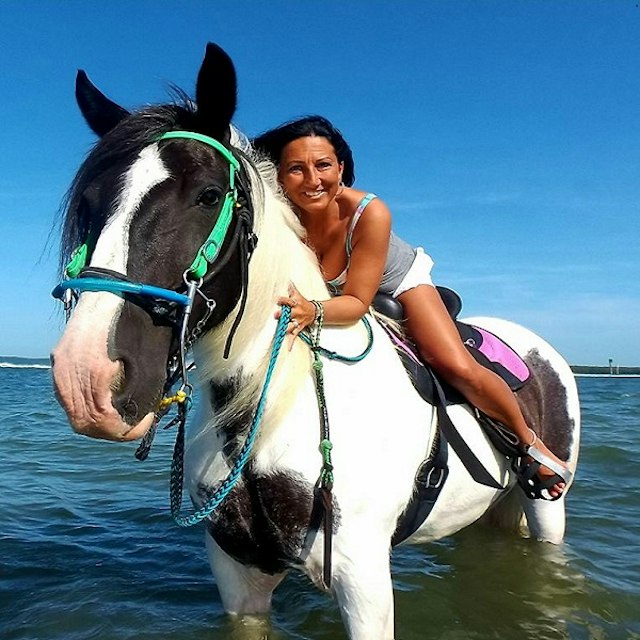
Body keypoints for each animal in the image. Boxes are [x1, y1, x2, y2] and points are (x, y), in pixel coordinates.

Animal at [51, 43, 580, 640]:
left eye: (209, 196)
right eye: (89, 203)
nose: (87, 379)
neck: (271, 408)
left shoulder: (362, 576)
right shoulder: (238, 572)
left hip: (547, 508)